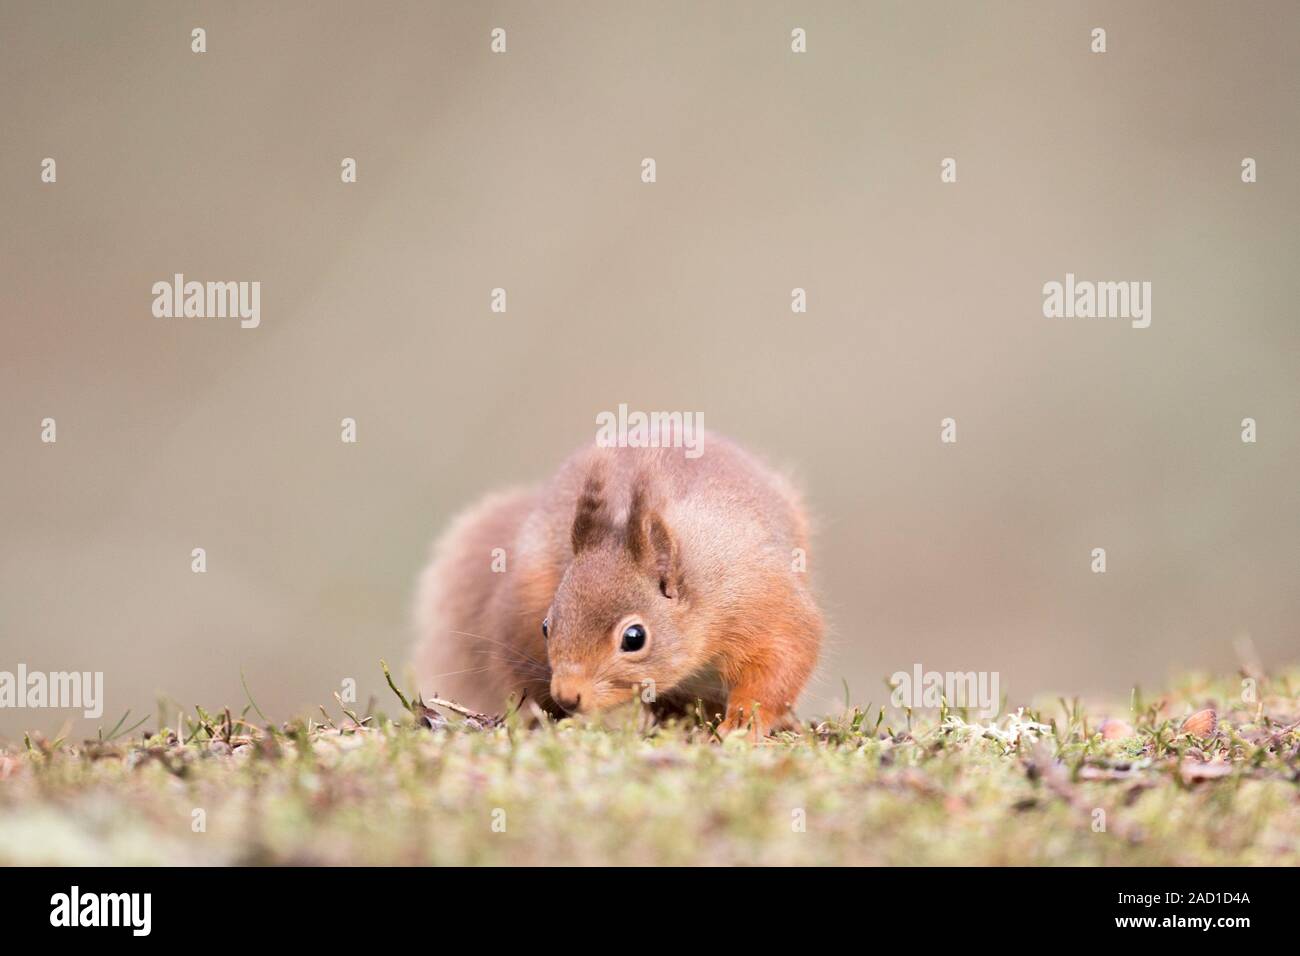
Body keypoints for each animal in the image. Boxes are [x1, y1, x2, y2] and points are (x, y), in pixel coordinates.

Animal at [413, 437, 821, 738]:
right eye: (546, 627)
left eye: (634, 638)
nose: (568, 695)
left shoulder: (760, 598)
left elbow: (784, 659)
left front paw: (743, 723)